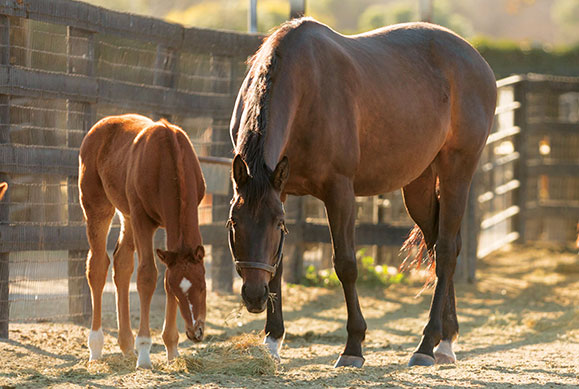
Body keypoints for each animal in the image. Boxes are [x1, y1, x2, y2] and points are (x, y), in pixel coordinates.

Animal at [78, 113, 207, 368]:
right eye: (179, 292)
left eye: (203, 286)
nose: (195, 332)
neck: (168, 157)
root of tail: (98, 127)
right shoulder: (142, 219)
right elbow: (147, 276)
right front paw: (146, 351)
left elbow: (164, 275)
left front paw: (172, 349)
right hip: (98, 206)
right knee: (97, 266)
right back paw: (96, 347)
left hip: (126, 215)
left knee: (121, 264)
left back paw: (127, 346)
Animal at [229, 18, 496, 366]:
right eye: (234, 223)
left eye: (276, 224)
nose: (254, 296)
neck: (305, 87)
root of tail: (478, 62)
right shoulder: (280, 190)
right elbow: (279, 263)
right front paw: (273, 339)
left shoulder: (339, 192)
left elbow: (346, 265)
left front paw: (353, 346)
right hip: (419, 185)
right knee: (438, 246)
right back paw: (446, 338)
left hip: (457, 171)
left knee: (448, 251)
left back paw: (427, 345)